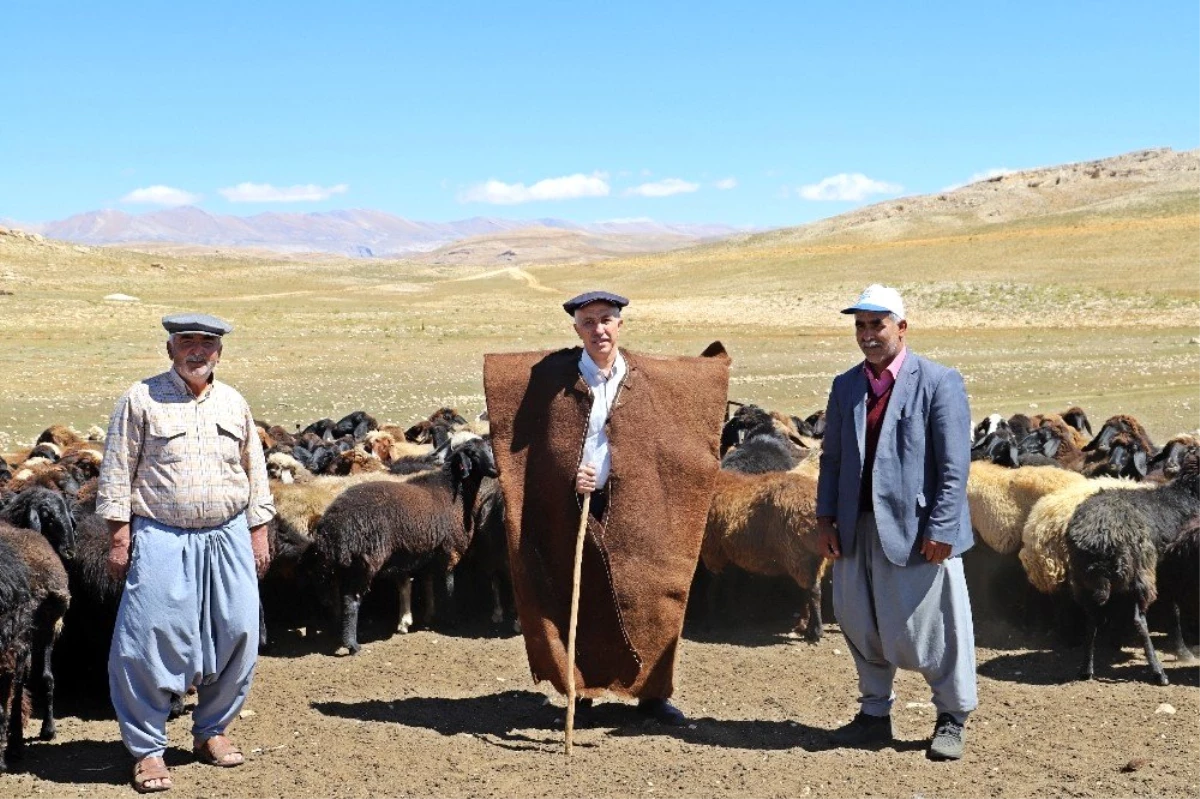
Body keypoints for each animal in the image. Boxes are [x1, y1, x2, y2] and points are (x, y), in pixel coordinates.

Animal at [314, 436, 496, 652]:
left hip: (345, 565)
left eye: (490, 449)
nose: (494, 470)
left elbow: (428, 585)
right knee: (352, 600)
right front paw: (451, 618)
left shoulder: (428, 551)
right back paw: (352, 645)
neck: (455, 491)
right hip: (365, 561)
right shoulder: (450, 551)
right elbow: (448, 587)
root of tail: (332, 528)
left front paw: (427, 616)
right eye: (473, 454)